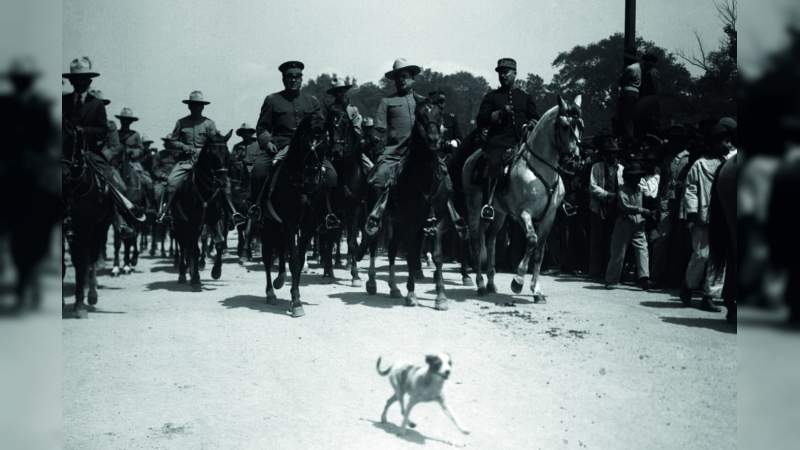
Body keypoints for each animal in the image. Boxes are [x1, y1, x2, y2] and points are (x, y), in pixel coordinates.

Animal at [169, 130, 231, 286]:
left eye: (227, 155)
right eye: (212, 155)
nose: (223, 182)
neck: (205, 191)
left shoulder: (215, 219)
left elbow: (219, 243)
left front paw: (216, 271)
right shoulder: (192, 222)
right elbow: (193, 249)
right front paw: (196, 277)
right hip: (180, 224)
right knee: (183, 246)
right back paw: (183, 273)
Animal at [260, 117, 328, 320]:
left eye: (324, 142)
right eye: (304, 141)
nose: (312, 178)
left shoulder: (308, 226)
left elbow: (296, 261)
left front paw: (295, 298)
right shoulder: (290, 223)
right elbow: (295, 260)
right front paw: (296, 302)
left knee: (281, 250)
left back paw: (280, 279)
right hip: (269, 226)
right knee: (268, 257)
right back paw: (270, 292)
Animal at [360, 99, 466, 310]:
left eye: (439, 115)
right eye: (420, 115)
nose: (434, 139)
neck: (424, 177)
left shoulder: (439, 220)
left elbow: (437, 255)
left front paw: (441, 297)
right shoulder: (411, 221)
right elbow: (410, 254)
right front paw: (411, 294)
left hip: (396, 222)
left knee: (392, 249)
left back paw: (393, 288)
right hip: (382, 220)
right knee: (374, 245)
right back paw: (372, 282)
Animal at [460, 94, 584, 302]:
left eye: (581, 125)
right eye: (565, 126)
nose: (575, 161)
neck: (541, 170)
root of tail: (472, 159)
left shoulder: (549, 217)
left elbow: (540, 250)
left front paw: (537, 290)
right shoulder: (523, 213)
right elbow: (532, 241)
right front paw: (517, 281)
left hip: (499, 215)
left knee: (491, 240)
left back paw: (491, 282)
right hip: (474, 209)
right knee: (477, 242)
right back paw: (480, 284)